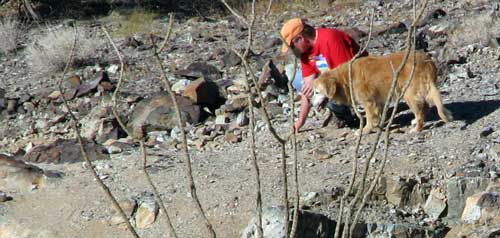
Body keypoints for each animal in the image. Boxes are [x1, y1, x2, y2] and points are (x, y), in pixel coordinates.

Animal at [312, 51, 450, 133]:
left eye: (317, 92)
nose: (312, 104)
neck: (346, 78)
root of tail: (427, 61)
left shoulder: (369, 102)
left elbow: (369, 117)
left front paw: (365, 130)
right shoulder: (379, 102)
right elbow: (379, 115)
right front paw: (378, 125)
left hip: (409, 93)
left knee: (420, 111)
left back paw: (417, 128)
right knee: (425, 107)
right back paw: (415, 121)